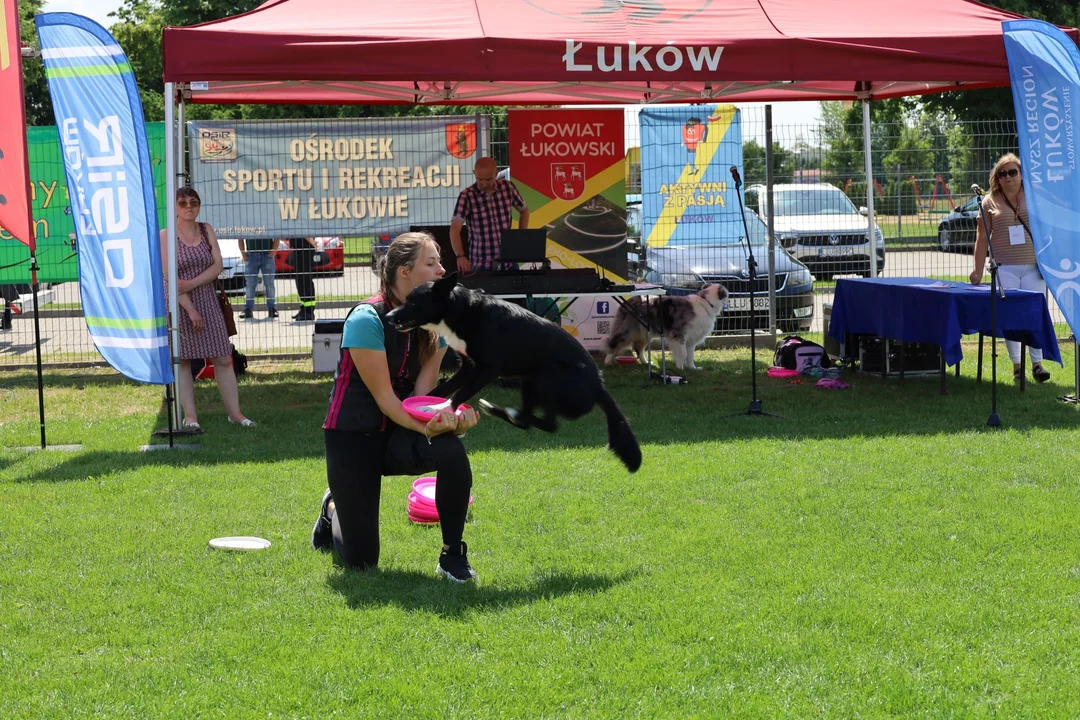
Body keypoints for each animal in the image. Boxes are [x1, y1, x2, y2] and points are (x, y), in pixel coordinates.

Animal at [388, 274, 639, 472]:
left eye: (413, 301)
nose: (389, 316)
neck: (462, 311)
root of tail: (599, 383)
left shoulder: (486, 369)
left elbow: (458, 395)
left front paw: (436, 409)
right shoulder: (467, 367)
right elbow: (442, 388)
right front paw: (421, 402)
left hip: (547, 377)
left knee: (550, 424)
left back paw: (510, 412)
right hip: (528, 379)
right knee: (529, 421)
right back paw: (502, 411)